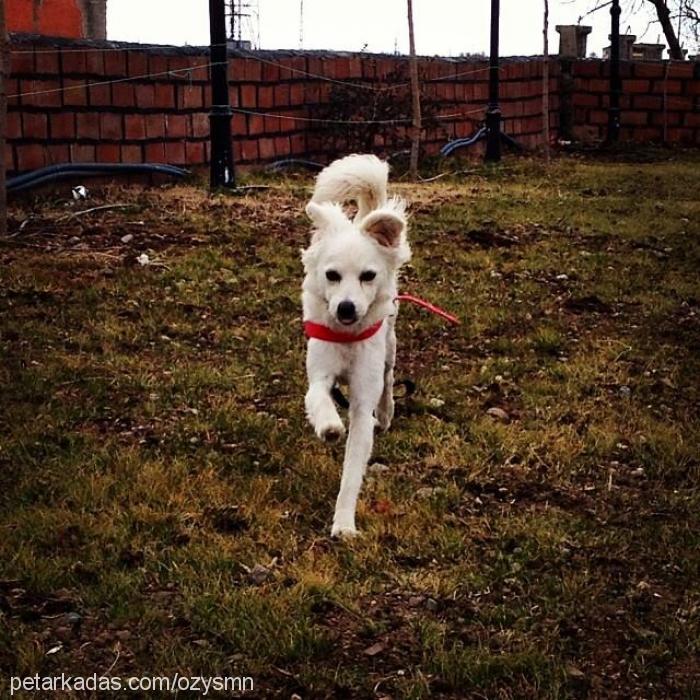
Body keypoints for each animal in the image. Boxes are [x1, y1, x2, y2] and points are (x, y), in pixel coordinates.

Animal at [300, 153, 410, 536]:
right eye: (332, 275)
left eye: (368, 276)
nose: (346, 308)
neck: (347, 337)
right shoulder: (319, 374)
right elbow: (319, 399)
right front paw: (330, 426)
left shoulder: (363, 403)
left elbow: (352, 472)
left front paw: (344, 522)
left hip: (389, 347)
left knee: (390, 380)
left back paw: (388, 412)